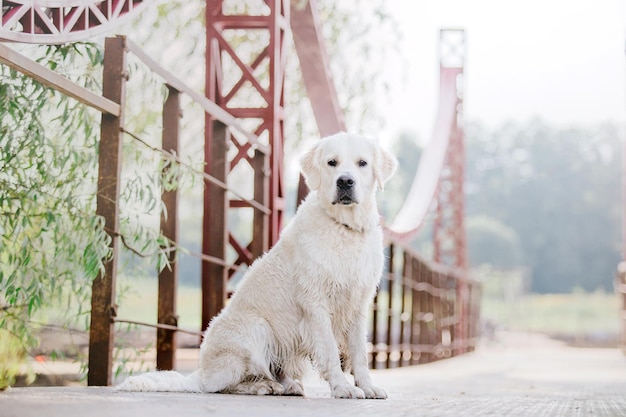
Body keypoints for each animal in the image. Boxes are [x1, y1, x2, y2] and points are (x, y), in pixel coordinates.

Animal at [117, 132, 394, 398]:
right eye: (332, 162)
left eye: (362, 163)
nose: (345, 181)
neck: (345, 227)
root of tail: (199, 372)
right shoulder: (316, 303)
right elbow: (330, 352)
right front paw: (343, 388)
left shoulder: (358, 304)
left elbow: (360, 354)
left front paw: (368, 387)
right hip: (257, 328)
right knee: (220, 385)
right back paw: (262, 386)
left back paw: (287, 385)